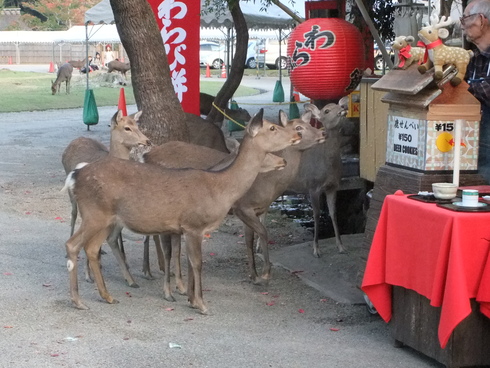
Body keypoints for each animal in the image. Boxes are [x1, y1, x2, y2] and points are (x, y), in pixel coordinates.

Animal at [64, 109, 302, 314]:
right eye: (272, 128)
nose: (297, 134)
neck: (220, 188)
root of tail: (75, 175)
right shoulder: (194, 224)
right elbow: (197, 263)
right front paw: (201, 304)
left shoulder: (186, 228)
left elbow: (187, 260)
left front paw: (190, 298)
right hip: (94, 213)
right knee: (73, 244)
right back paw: (78, 300)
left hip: (106, 218)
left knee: (92, 248)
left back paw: (107, 296)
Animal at [286, 100, 350, 258]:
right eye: (326, 111)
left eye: (340, 105)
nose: (343, 110)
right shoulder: (313, 186)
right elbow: (316, 214)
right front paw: (316, 249)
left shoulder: (333, 186)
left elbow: (333, 213)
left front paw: (341, 246)